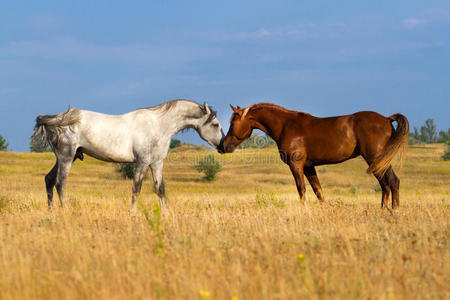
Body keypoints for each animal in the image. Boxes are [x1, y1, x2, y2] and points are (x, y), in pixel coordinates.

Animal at [30, 99, 224, 210]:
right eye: (215, 124)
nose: (223, 146)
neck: (159, 125)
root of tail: (58, 119)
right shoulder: (142, 162)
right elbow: (136, 189)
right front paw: (133, 213)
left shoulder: (157, 163)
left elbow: (160, 190)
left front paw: (166, 215)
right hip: (67, 158)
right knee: (60, 183)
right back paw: (66, 211)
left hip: (64, 158)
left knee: (49, 180)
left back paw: (52, 211)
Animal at [220, 103, 410, 209]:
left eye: (233, 123)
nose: (223, 146)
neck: (286, 125)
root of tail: (386, 119)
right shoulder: (309, 167)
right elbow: (318, 191)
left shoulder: (296, 165)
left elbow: (301, 189)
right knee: (386, 185)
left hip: (375, 159)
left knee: (392, 182)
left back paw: (394, 211)